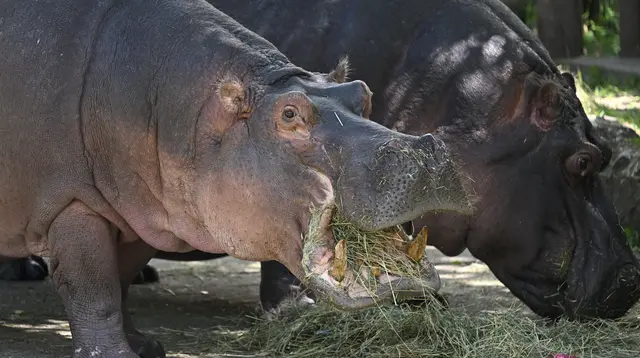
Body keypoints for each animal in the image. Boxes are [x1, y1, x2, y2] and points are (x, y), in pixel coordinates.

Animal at [0, 0, 472, 356]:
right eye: (289, 114)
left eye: (362, 92)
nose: (421, 148)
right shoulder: (73, 204)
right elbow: (95, 291)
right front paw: (116, 355)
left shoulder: (140, 214)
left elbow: (120, 281)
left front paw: (145, 346)